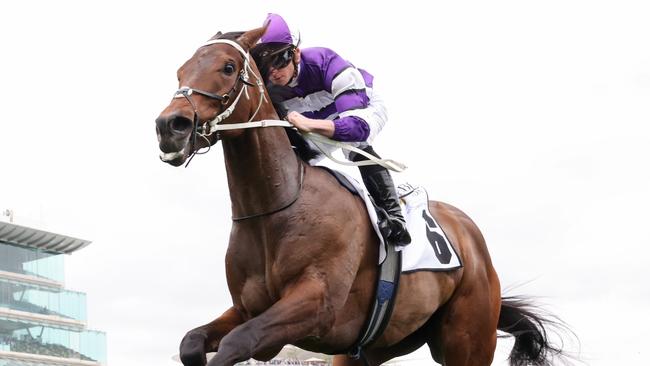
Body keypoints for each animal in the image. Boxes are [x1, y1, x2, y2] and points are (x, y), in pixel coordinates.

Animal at [154, 26, 564, 366]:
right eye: (180, 71)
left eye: (227, 66)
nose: (169, 126)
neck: (276, 208)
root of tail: (472, 238)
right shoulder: (247, 308)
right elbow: (191, 342)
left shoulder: (315, 305)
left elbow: (237, 343)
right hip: (371, 347)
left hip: (468, 340)